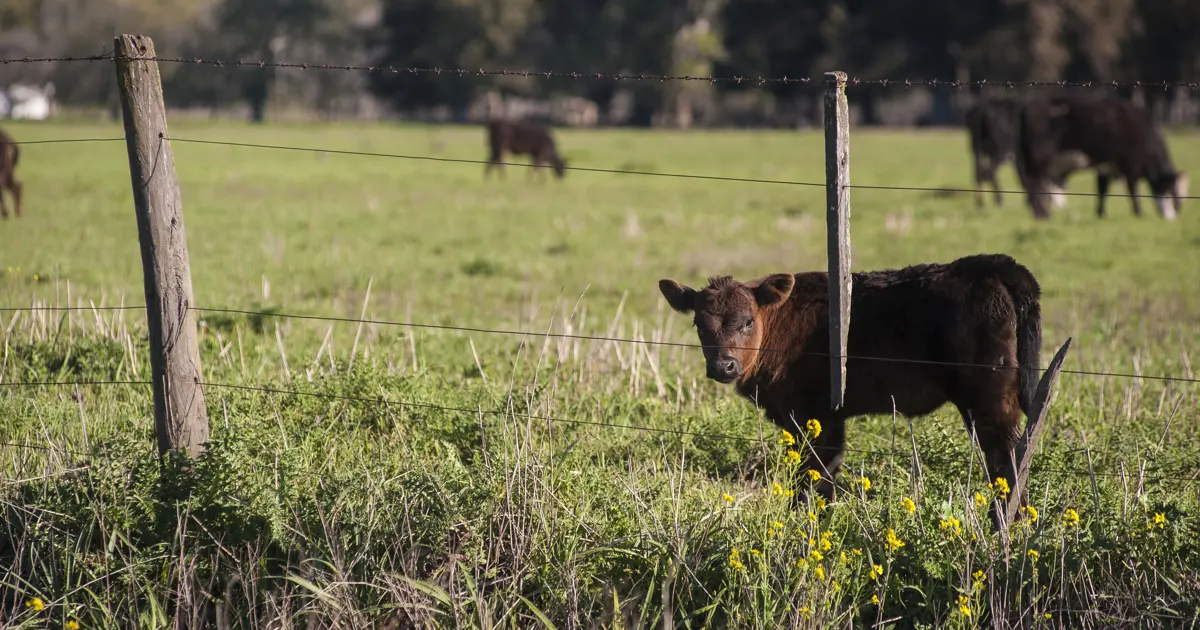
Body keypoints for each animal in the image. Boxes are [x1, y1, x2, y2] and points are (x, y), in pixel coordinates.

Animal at [658, 253, 1042, 526]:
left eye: (748, 320)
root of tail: (991, 265)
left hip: (990, 401)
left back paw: (1009, 521)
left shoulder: (814, 415)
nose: (723, 366)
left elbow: (815, 474)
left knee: (1005, 456)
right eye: (699, 324)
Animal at [1016, 94, 1188, 220]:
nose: (1173, 217)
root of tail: (1028, 106)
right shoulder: (1130, 166)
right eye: (1173, 193)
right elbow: (1133, 190)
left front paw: (1101, 214)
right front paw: (1138, 212)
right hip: (1039, 159)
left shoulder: (1106, 166)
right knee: (1033, 184)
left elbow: (1102, 190)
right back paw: (1042, 215)